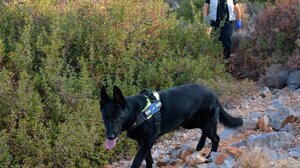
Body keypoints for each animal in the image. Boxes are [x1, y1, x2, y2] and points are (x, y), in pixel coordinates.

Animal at [99, 83, 243, 167]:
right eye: (105, 118)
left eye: (118, 118)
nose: (110, 137)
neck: (135, 112)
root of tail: (213, 94)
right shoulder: (143, 143)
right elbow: (148, 159)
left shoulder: (148, 141)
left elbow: (137, 161)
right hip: (190, 123)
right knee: (205, 132)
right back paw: (199, 146)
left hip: (205, 122)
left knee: (215, 137)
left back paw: (210, 156)